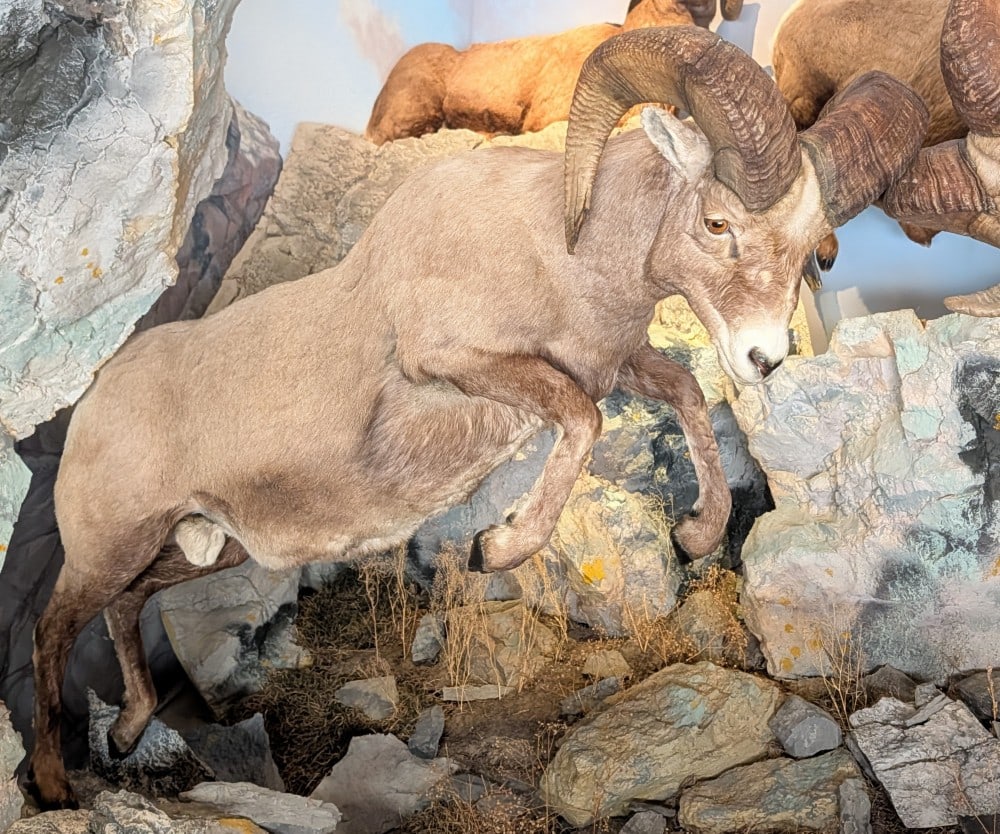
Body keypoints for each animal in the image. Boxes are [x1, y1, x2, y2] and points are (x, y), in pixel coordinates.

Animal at [26, 25, 928, 810]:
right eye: (717, 222)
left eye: (811, 246)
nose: (765, 358)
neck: (563, 251)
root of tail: (96, 400)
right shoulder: (461, 364)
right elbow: (582, 419)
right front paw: (498, 546)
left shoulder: (613, 364)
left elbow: (679, 390)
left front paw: (697, 534)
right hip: (111, 545)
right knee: (51, 630)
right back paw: (55, 782)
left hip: (200, 548)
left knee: (124, 607)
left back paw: (128, 732)